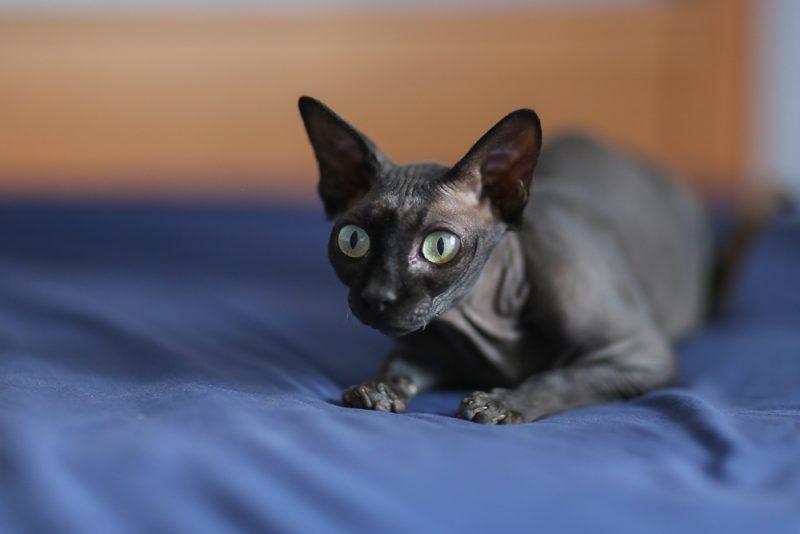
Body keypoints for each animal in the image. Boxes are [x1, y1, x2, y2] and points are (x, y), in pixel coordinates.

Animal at [296, 94, 708, 426]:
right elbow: (397, 367)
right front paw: (378, 389)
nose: (377, 297)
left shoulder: (642, 355)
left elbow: (563, 378)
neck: (489, 320)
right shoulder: (423, 348)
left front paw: (502, 403)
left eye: (439, 246)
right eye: (353, 240)